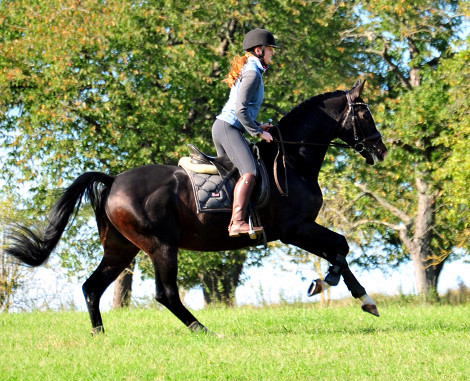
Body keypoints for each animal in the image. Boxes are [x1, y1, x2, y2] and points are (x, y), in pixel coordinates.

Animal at [5, 79, 388, 332]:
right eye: (365, 116)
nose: (381, 150)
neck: (292, 160)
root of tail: (113, 181)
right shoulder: (295, 229)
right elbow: (340, 246)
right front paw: (327, 282)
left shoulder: (301, 229)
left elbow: (339, 248)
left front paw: (361, 297)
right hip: (160, 245)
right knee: (165, 294)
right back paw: (202, 330)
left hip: (121, 248)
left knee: (92, 287)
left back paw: (99, 335)